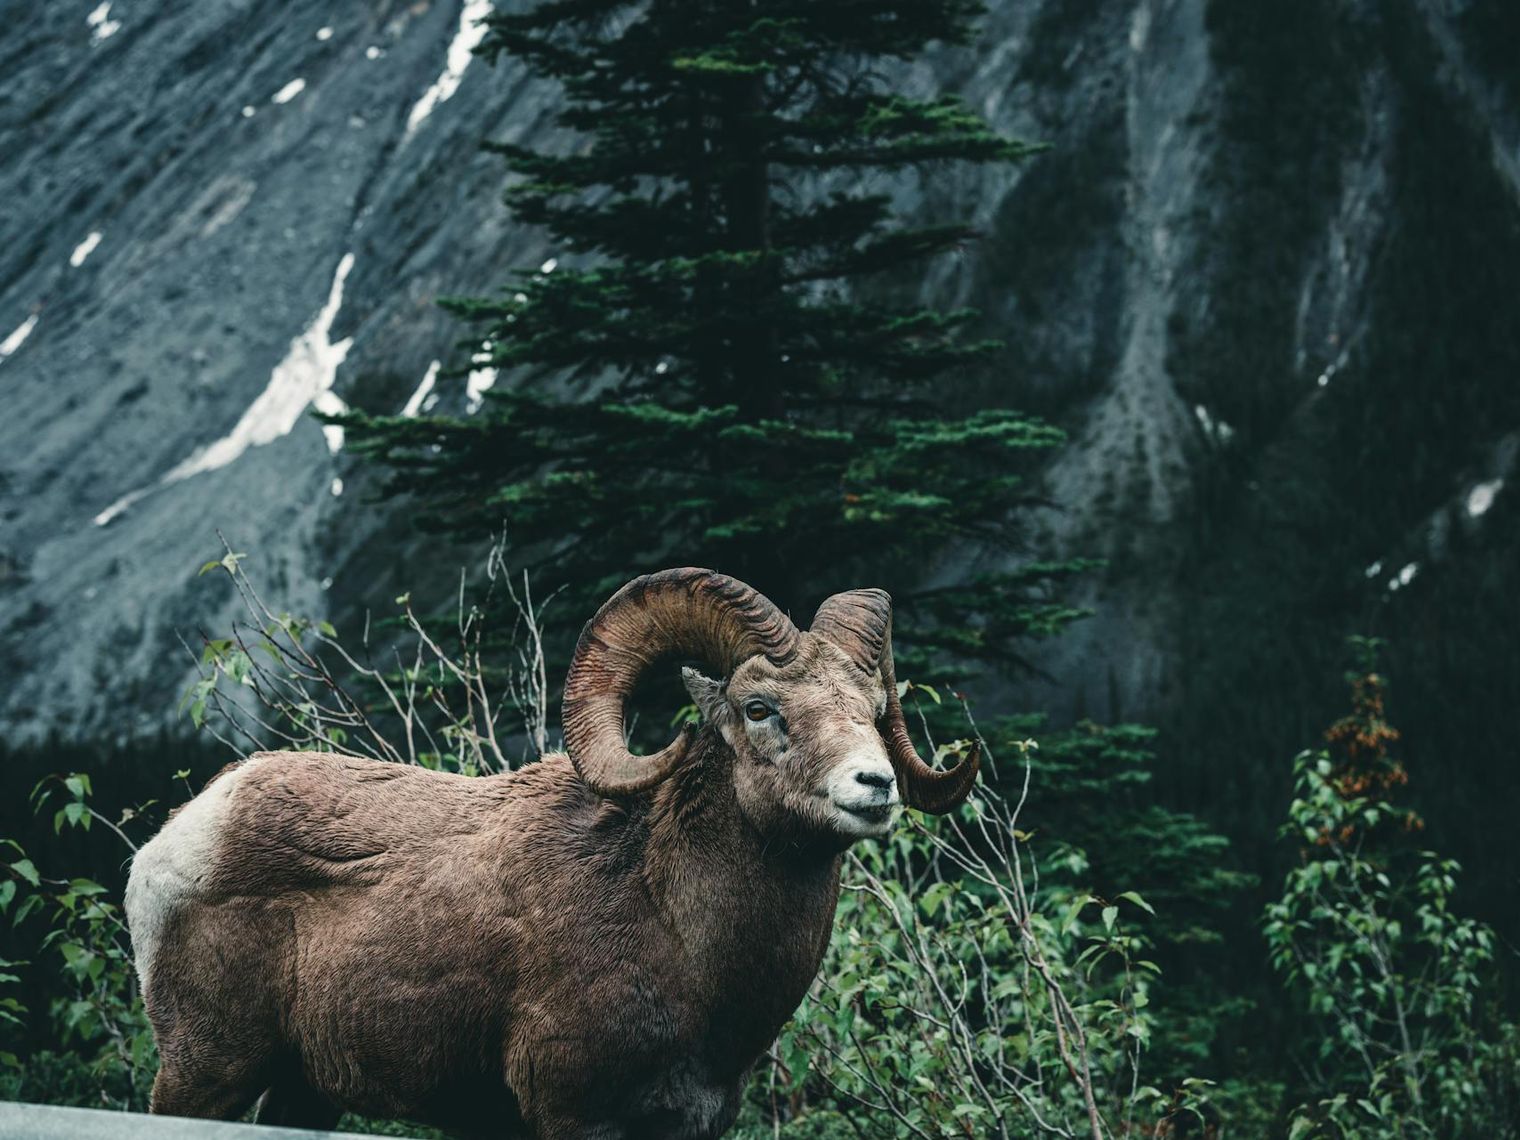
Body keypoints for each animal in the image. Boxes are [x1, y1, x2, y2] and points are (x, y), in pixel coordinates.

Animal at [125, 567, 979, 1138]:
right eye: (760, 708)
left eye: (874, 708)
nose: (874, 786)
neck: (673, 928)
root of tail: (182, 835)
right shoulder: (574, 1112)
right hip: (206, 1069)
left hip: (299, 1092)